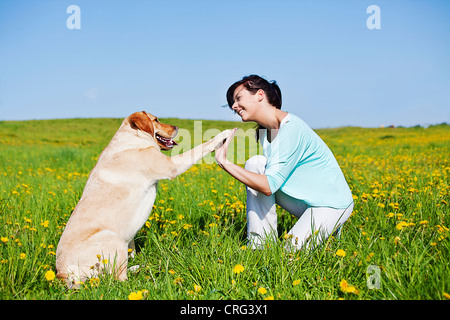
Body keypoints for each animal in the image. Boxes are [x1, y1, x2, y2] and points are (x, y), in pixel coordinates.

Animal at [55, 110, 232, 288]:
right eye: (156, 120)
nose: (176, 126)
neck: (133, 139)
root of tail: (62, 273)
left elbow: (132, 246)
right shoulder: (172, 165)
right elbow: (200, 147)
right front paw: (223, 134)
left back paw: (137, 267)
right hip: (112, 238)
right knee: (119, 280)